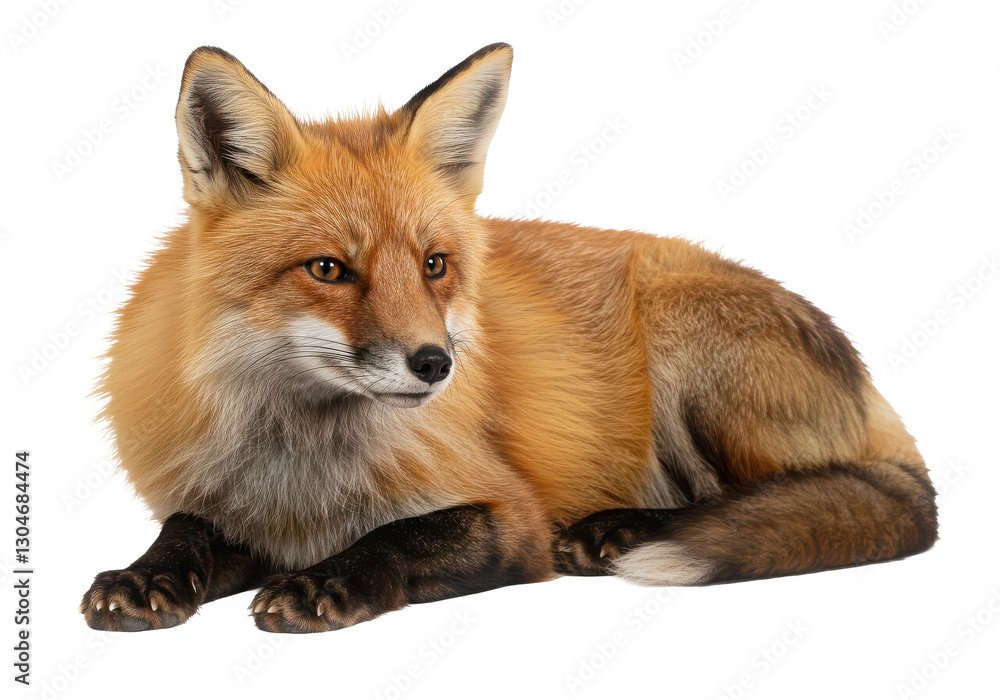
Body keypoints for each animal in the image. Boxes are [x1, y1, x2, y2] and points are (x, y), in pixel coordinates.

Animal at [81, 43, 937, 633]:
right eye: (328, 269)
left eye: (434, 266)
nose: (436, 364)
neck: (301, 466)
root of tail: (874, 393)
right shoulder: (233, 506)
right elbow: (185, 531)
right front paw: (144, 575)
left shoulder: (510, 516)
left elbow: (401, 537)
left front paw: (327, 581)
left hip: (681, 339)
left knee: (782, 494)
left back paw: (619, 530)